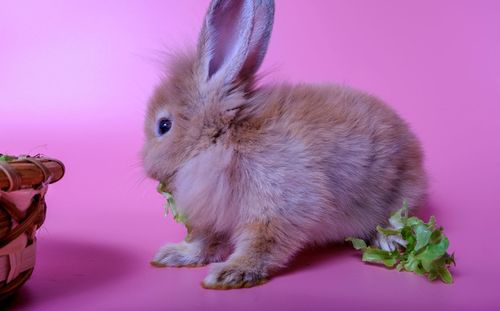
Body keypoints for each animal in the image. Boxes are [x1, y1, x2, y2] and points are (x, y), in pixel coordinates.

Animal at [141, 0, 426, 290]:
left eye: (164, 126)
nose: (149, 170)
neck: (226, 139)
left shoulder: (278, 207)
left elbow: (262, 244)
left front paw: (230, 273)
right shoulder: (214, 218)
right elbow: (205, 243)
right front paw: (175, 255)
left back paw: (387, 241)